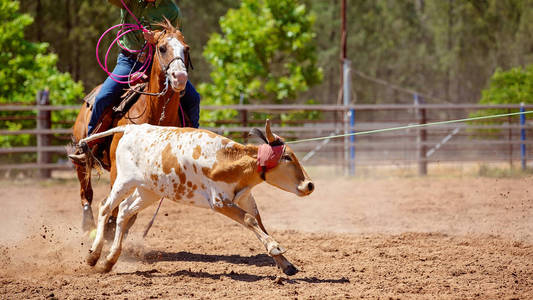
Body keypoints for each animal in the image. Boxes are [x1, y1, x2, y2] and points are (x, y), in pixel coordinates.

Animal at [70, 22, 191, 233]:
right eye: (162, 48)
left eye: (186, 49)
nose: (180, 77)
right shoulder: (118, 169)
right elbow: (115, 202)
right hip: (82, 154)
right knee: (86, 188)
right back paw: (88, 223)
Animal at [81, 120, 314, 276]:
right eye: (287, 157)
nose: (309, 185)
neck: (225, 160)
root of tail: (132, 128)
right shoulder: (220, 202)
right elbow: (249, 220)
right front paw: (275, 247)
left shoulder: (246, 198)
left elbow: (259, 222)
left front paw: (285, 264)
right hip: (124, 181)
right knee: (105, 207)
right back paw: (94, 254)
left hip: (149, 191)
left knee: (124, 211)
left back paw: (110, 259)